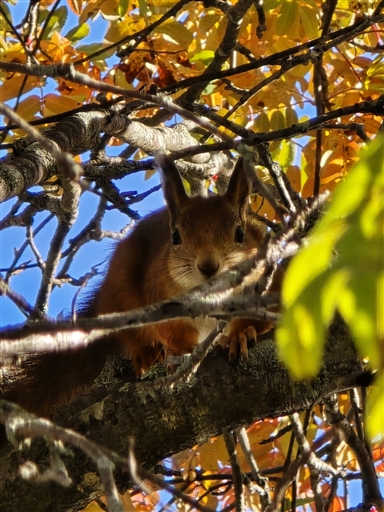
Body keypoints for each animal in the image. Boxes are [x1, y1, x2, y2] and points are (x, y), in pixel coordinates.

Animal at [1, 156, 280, 416]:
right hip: (121, 292)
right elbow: (174, 333)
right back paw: (147, 353)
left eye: (240, 234)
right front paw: (179, 354)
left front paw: (240, 336)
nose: (209, 266)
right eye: (175, 237)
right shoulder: (160, 298)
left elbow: (258, 322)